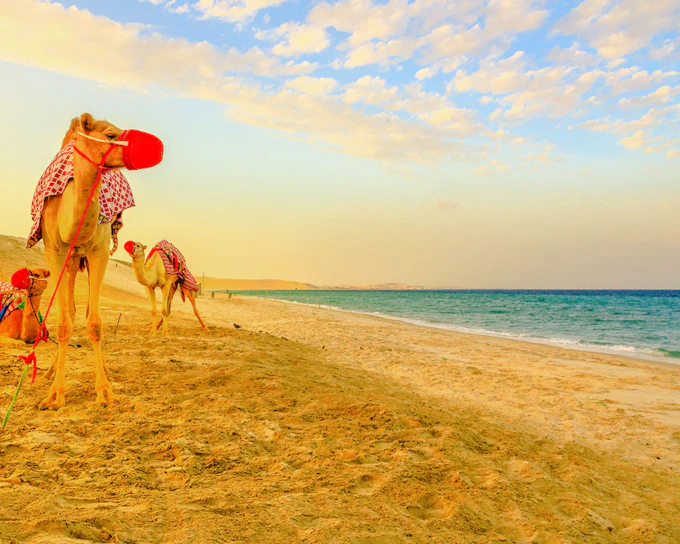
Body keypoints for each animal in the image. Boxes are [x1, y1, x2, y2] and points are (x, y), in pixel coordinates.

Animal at [36, 113, 163, 410]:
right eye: (110, 135)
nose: (155, 146)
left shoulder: (100, 251)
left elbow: (94, 324)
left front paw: (104, 391)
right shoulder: (54, 251)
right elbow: (63, 322)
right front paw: (55, 395)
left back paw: (103, 368)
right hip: (71, 260)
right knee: (70, 311)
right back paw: (50, 371)